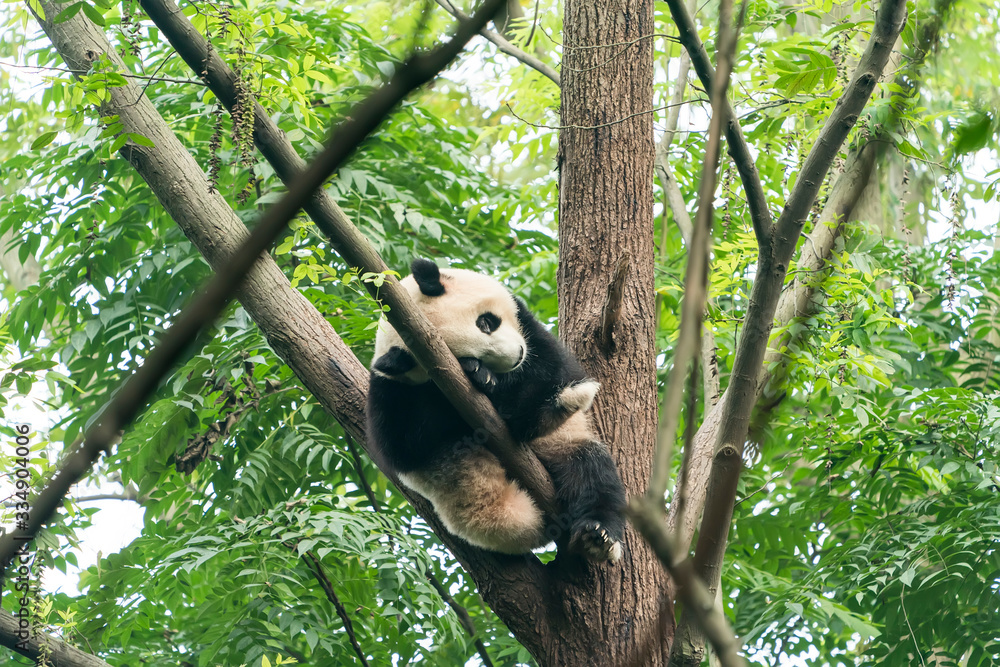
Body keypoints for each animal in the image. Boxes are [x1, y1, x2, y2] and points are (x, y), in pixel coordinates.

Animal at [366, 258, 627, 562]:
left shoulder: (527, 326)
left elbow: (550, 367)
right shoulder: (391, 394)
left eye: (486, 323)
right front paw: (479, 375)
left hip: (561, 445)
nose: (516, 356)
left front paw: (494, 382)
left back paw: (597, 534)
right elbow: (407, 444)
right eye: (462, 355)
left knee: (592, 473)